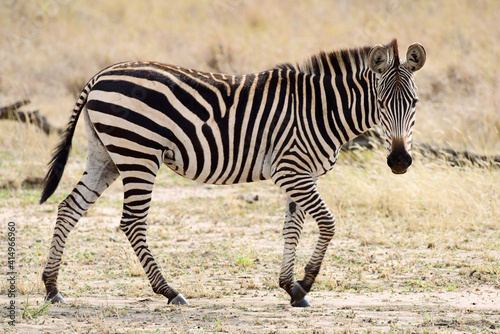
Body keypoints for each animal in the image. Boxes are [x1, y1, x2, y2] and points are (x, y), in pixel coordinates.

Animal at [40, 37, 426, 306]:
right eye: (380, 103)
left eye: (415, 103)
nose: (399, 161)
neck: (320, 110)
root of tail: (101, 74)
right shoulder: (291, 171)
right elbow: (328, 223)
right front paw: (307, 281)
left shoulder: (301, 174)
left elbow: (292, 228)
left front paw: (291, 288)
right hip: (139, 154)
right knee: (132, 222)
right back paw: (170, 291)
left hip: (105, 154)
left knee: (69, 208)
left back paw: (52, 287)